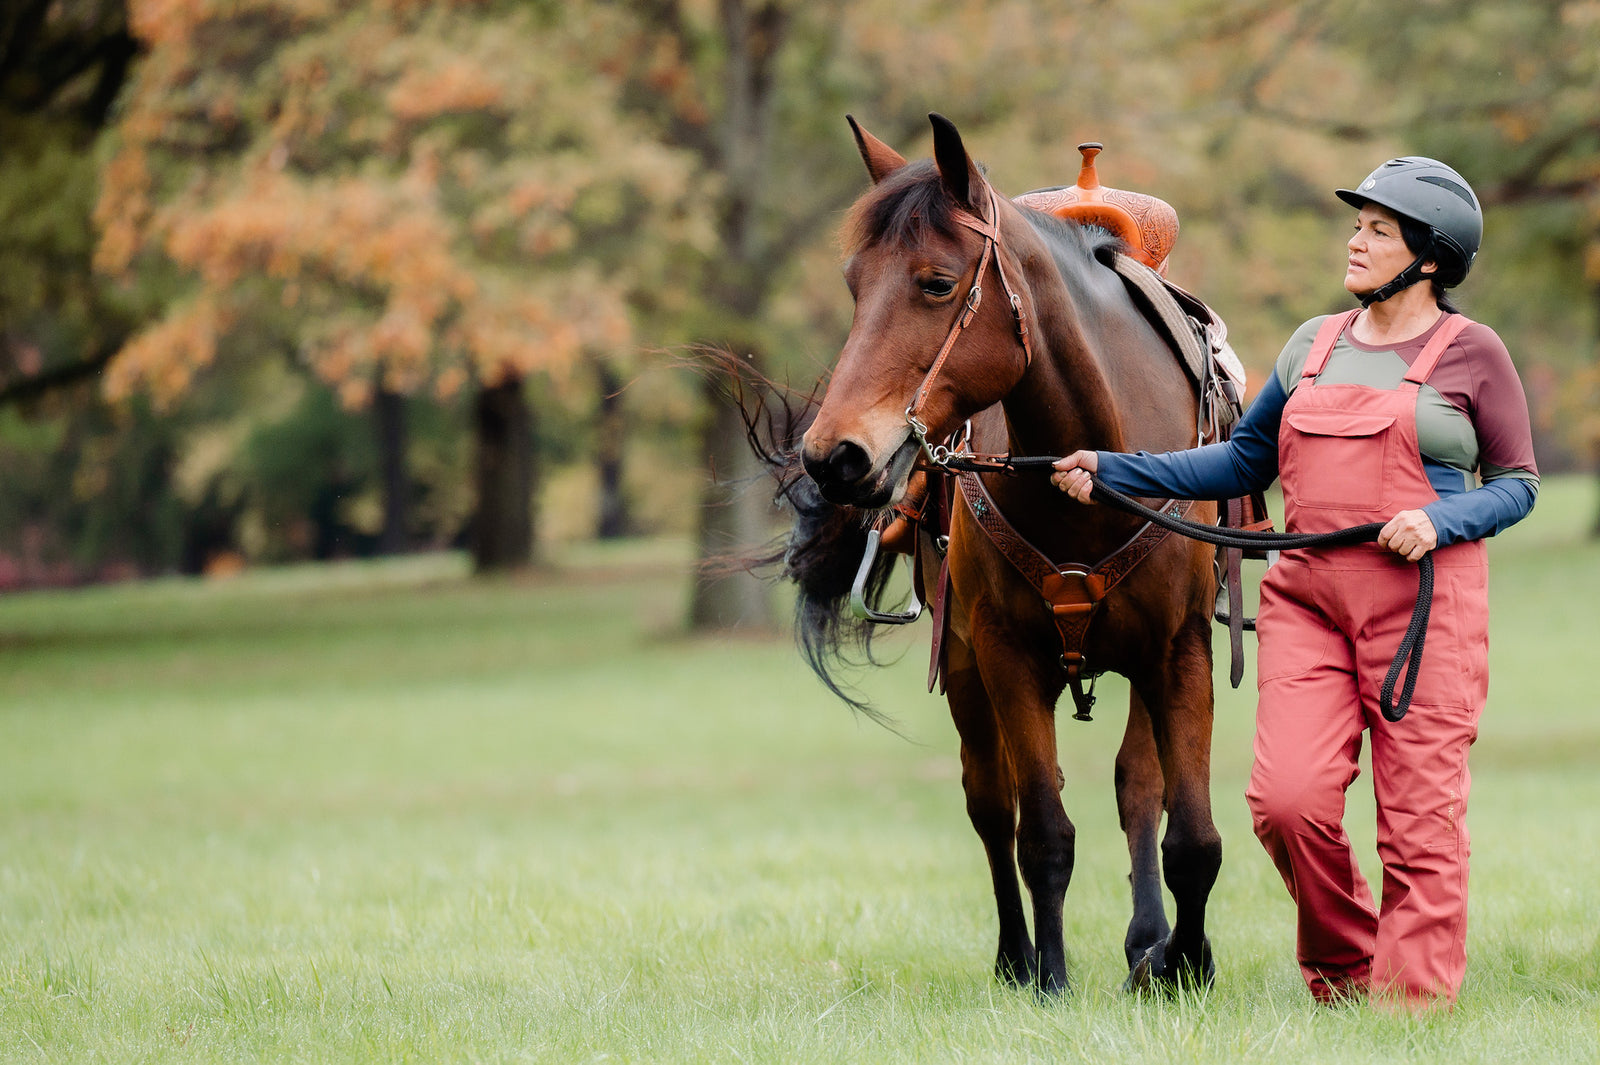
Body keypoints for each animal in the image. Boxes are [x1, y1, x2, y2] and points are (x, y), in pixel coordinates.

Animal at [793, 115, 1216, 997]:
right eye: (854, 283)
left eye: (935, 282)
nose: (832, 455)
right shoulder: (1004, 655)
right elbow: (1041, 833)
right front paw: (1050, 974)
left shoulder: (1178, 650)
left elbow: (1189, 831)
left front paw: (1183, 960)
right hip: (964, 667)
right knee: (991, 804)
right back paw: (1017, 956)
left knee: (1137, 785)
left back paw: (1146, 940)